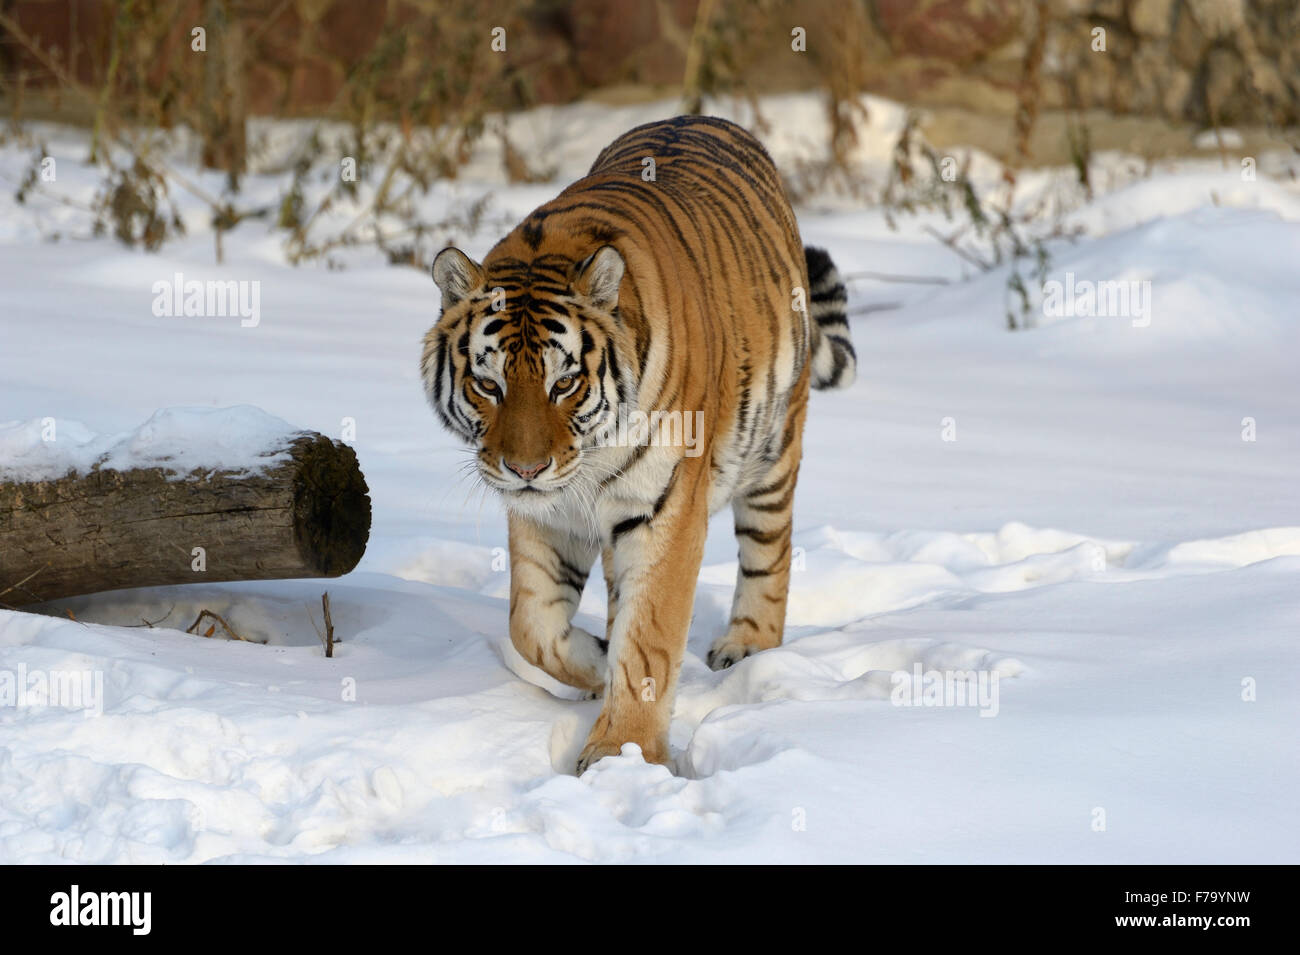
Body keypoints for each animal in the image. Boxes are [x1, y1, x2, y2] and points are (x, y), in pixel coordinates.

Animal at [421, 117, 857, 779]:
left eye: (564, 383)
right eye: (488, 384)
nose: (525, 468)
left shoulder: (665, 510)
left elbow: (650, 633)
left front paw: (622, 754)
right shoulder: (546, 515)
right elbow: (532, 624)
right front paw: (601, 666)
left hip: (774, 449)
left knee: (770, 552)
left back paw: (747, 646)